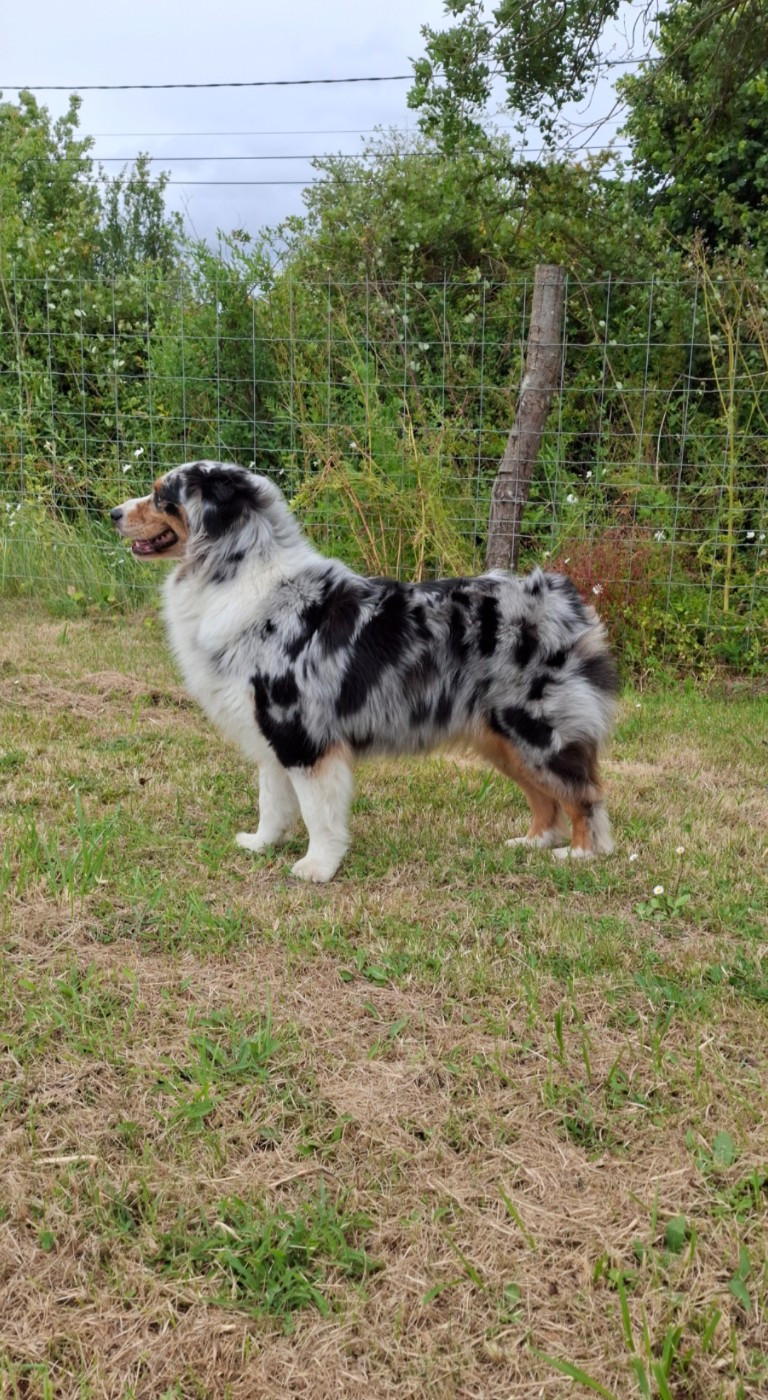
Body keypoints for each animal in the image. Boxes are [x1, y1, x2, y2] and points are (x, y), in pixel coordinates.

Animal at [111, 460, 618, 882]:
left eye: (161, 495)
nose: (113, 513)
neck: (232, 571)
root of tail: (565, 599)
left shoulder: (303, 736)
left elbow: (317, 813)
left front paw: (317, 867)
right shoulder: (270, 733)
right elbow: (271, 802)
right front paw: (260, 844)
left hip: (536, 730)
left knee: (584, 793)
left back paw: (582, 854)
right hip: (500, 738)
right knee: (546, 797)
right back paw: (531, 842)